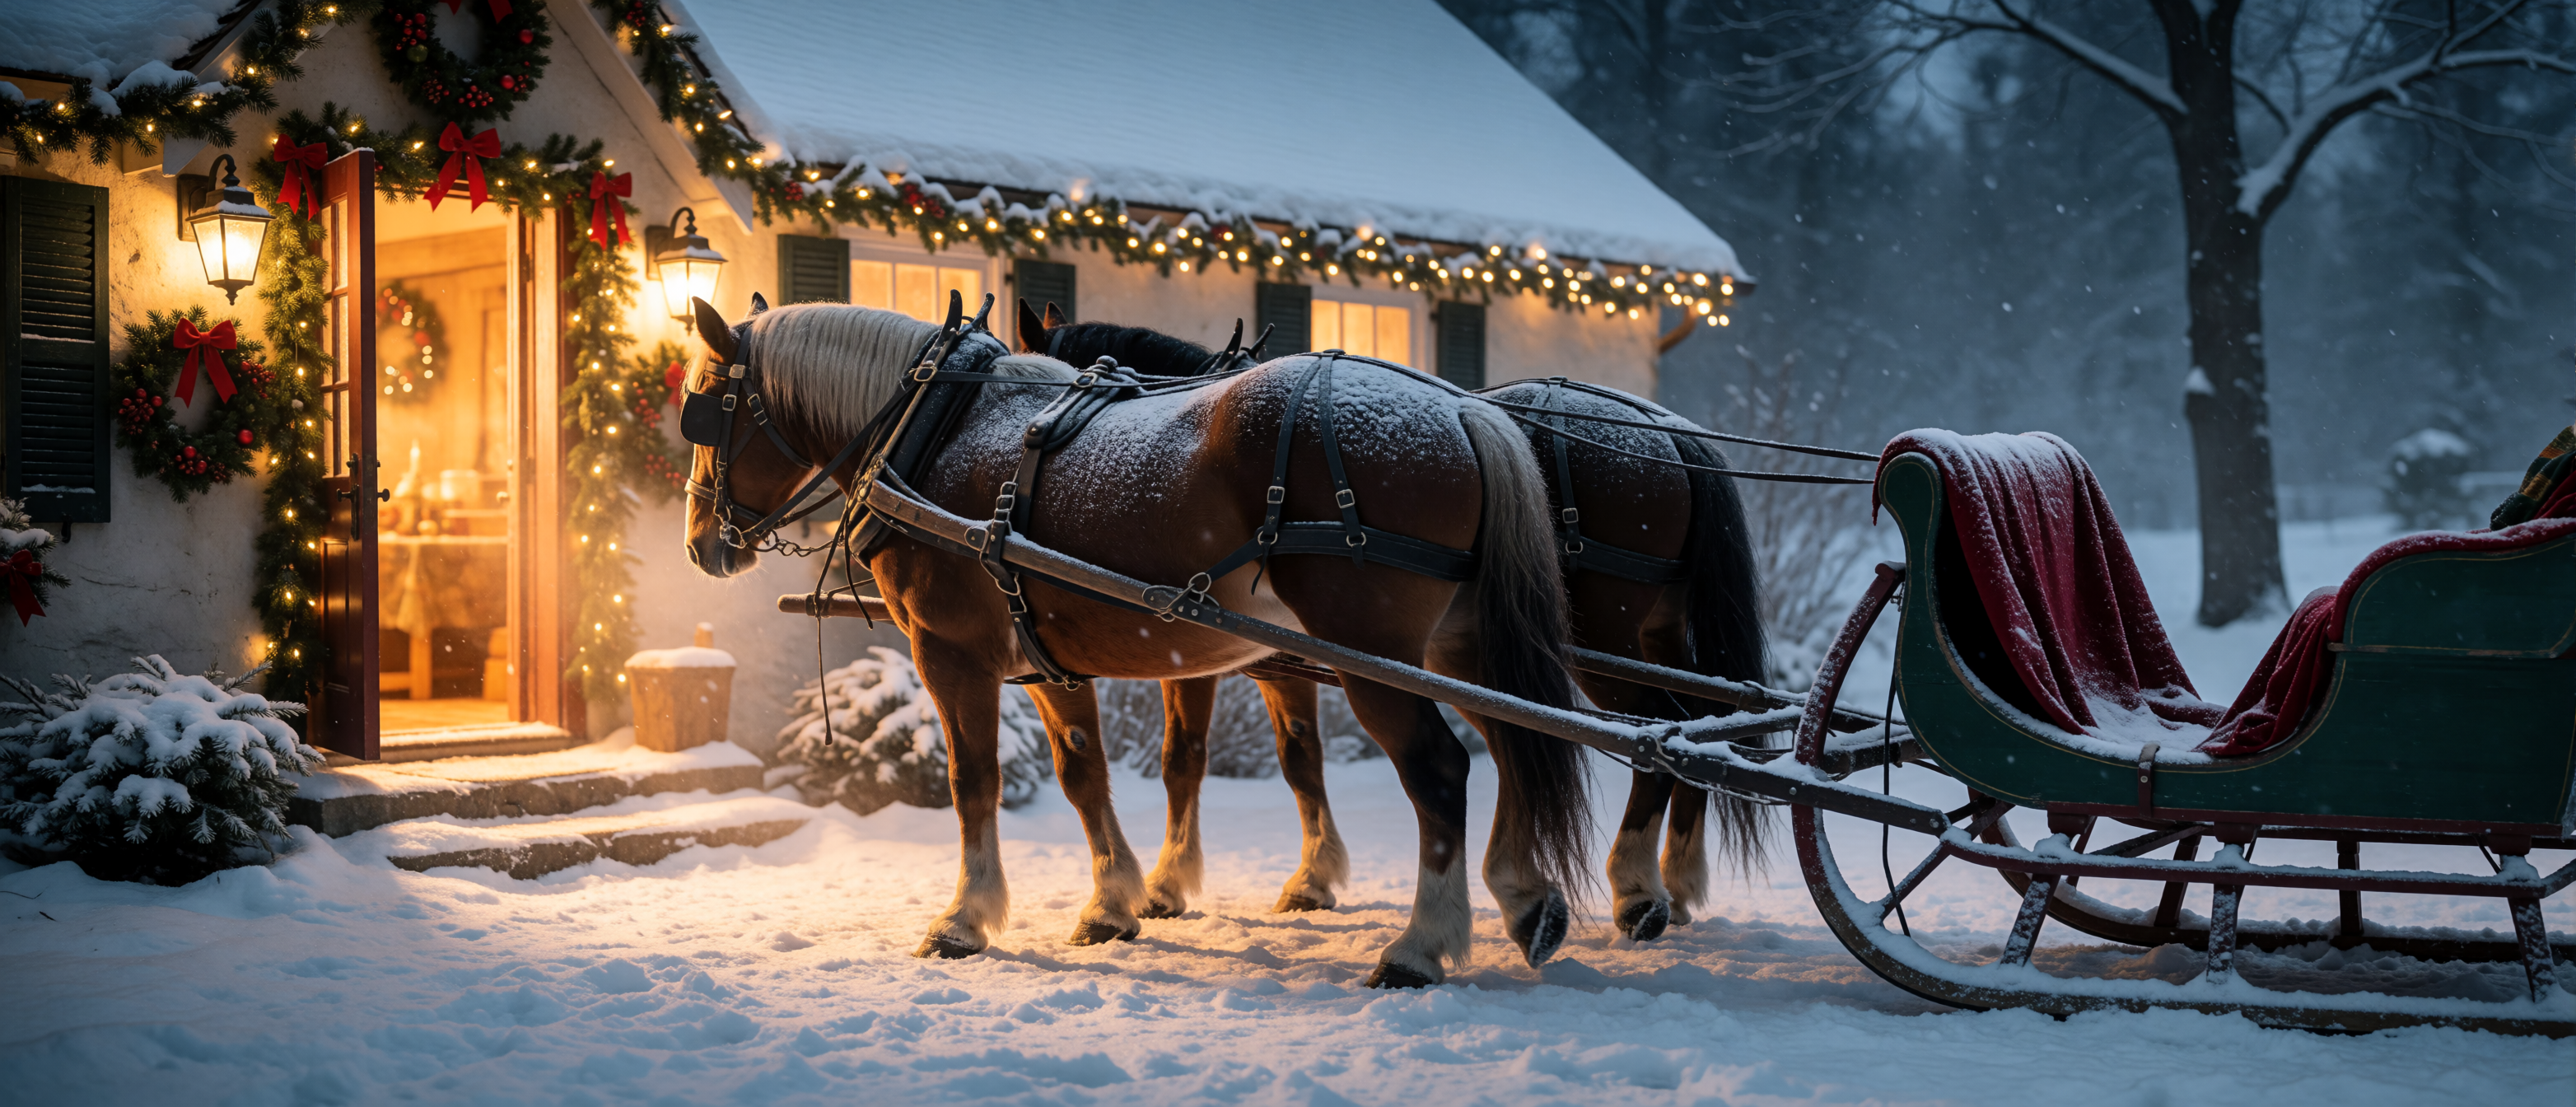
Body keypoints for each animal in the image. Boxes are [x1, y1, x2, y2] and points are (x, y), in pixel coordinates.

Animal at [680, 296, 1592, 987]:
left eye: (705, 413)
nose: (698, 545)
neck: (931, 428)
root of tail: (1461, 407)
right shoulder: (1050, 661)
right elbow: (1085, 776)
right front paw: (1114, 903)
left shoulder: (951, 653)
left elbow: (973, 782)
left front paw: (965, 918)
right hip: (1461, 649)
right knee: (1516, 745)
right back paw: (1527, 900)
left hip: (1375, 653)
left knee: (1439, 773)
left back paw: (1418, 946)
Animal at [1020, 301, 1770, 941]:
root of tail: (1672, 437)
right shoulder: (1273, 660)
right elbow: (1297, 756)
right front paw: (1311, 876)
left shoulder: (1208, 651)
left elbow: (1190, 760)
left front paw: (1170, 885)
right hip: (1648, 636)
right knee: (1704, 723)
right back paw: (1673, 881)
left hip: (1592, 638)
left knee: (1659, 735)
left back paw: (1635, 887)